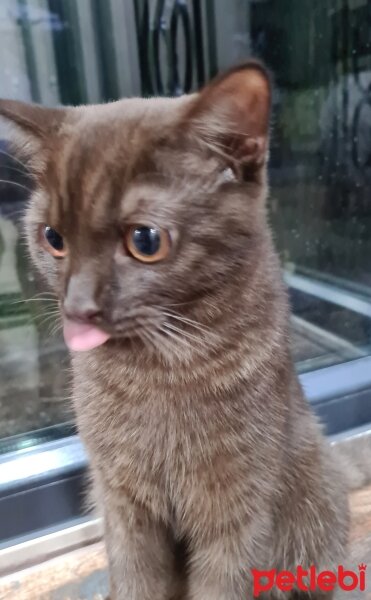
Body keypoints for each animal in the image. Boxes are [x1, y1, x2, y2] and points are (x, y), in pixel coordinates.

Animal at [0, 62, 348, 600]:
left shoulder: (239, 509)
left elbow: (223, 584)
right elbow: (135, 578)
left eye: (144, 240)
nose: (77, 307)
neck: (158, 373)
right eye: (53, 238)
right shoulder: (121, 501)